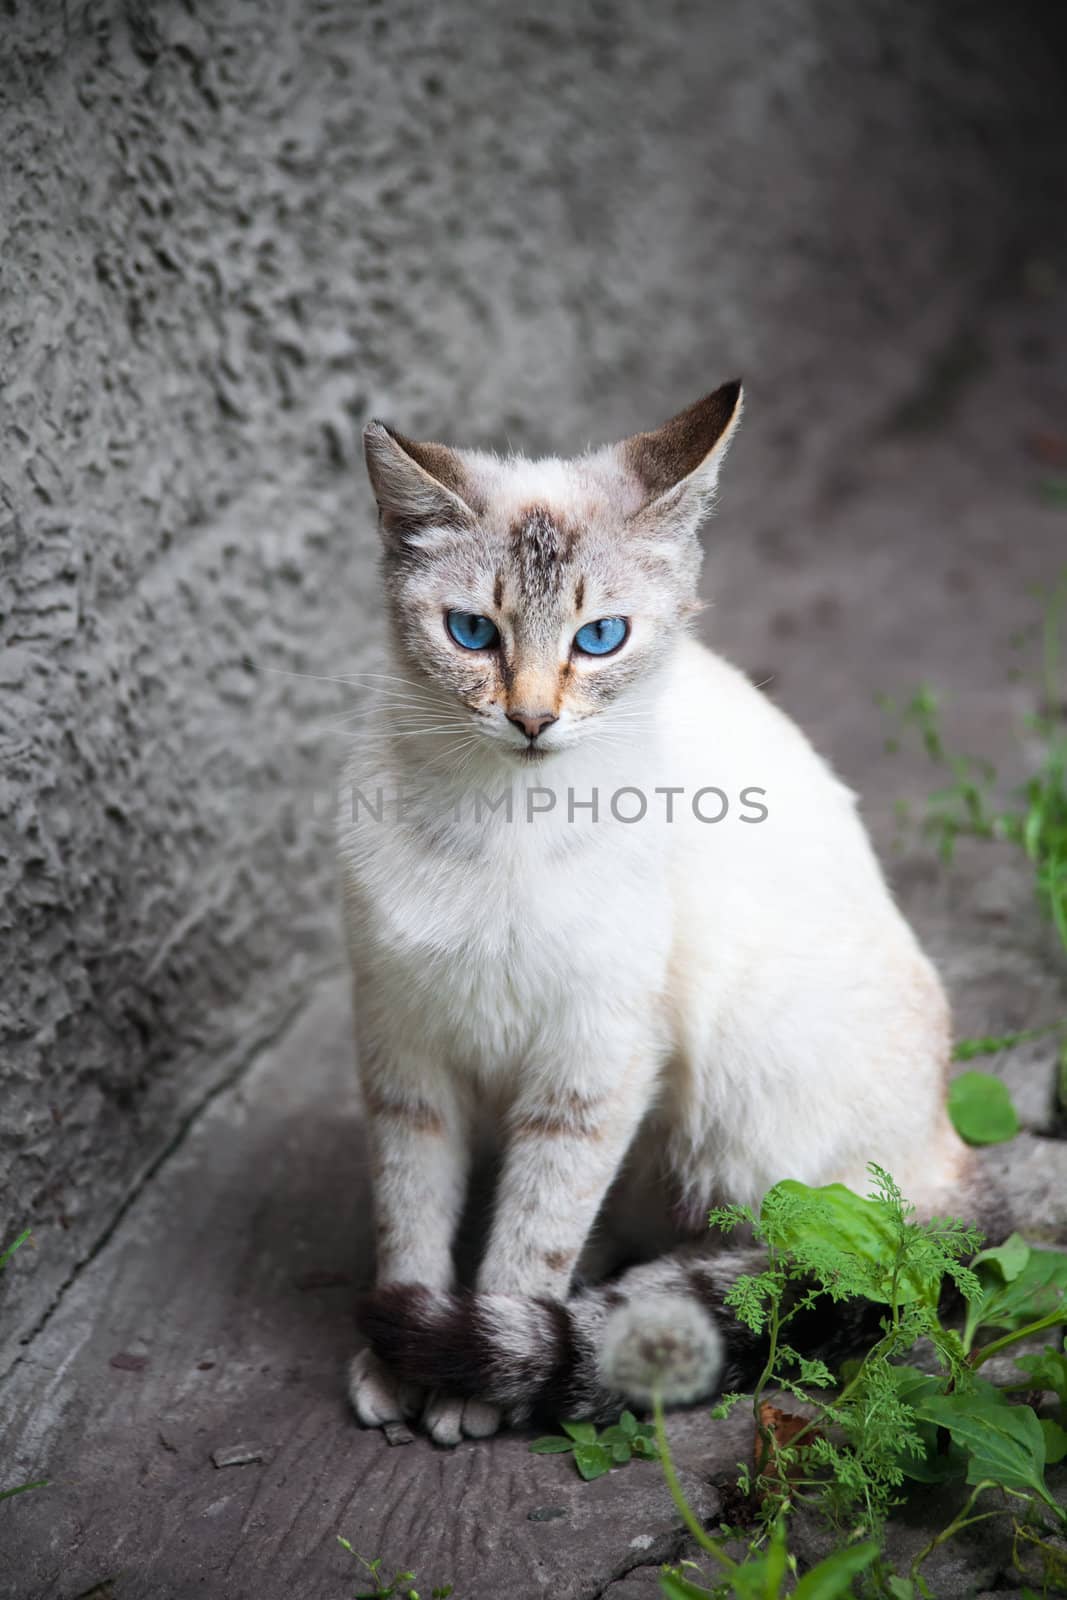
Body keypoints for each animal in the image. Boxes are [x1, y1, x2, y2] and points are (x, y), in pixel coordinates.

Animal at [337, 387, 979, 1452]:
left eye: (599, 639)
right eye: (471, 632)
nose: (531, 720)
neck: (500, 822)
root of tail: (952, 1157)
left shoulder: (590, 1067)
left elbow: (533, 1235)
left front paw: (473, 1373)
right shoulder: (404, 1049)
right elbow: (408, 1214)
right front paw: (402, 1354)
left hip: (753, 1126)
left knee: (780, 1264)